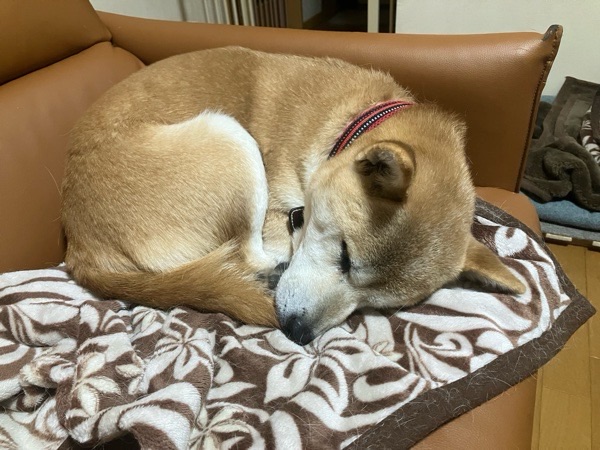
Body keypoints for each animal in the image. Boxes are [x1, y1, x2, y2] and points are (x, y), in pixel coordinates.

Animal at [61, 47, 525, 345]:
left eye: (375, 305)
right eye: (345, 256)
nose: (298, 333)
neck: (354, 119)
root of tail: (79, 249)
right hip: (230, 138)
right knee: (246, 253)